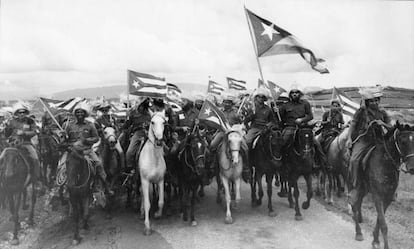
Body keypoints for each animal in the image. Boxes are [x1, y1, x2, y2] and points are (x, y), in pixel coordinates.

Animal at [350, 121, 414, 249]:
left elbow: (380, 220)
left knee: (357, 203)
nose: (412, 168)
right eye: (403, 141)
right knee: (353, 204)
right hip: (355, 185)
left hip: (364, 188)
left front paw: (375, 240)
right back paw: (358, 233)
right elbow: (384, 224)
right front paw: (384, 245)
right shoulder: (378, 196)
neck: (385, 163)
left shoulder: (388, 198)